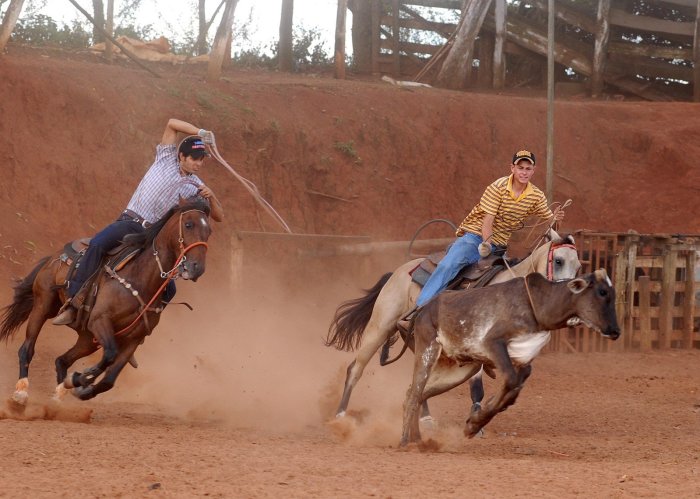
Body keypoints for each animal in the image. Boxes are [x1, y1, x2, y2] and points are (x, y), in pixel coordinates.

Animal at [0, 197, 212, 404]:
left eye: (208, 231)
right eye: (189, 224)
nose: (197, 268)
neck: (140, 278)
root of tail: (54, 256)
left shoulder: (133, 339)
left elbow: (109, 379)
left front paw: (81, 386)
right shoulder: (100, 320)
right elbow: (109, 354)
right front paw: (81, 377)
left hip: (87, 339)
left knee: (62, 360)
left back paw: (60, 394)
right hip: (43, 305)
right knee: (27, 349)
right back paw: (21, 391)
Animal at [326, 229, 580, 418]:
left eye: (578, 266)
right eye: (558, 261)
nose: (569, 298)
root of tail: (399, 271)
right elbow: (477, 386)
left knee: (420, 377)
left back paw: (424, 417)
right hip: (380, 326)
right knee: (355, 368)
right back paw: (340, 416)